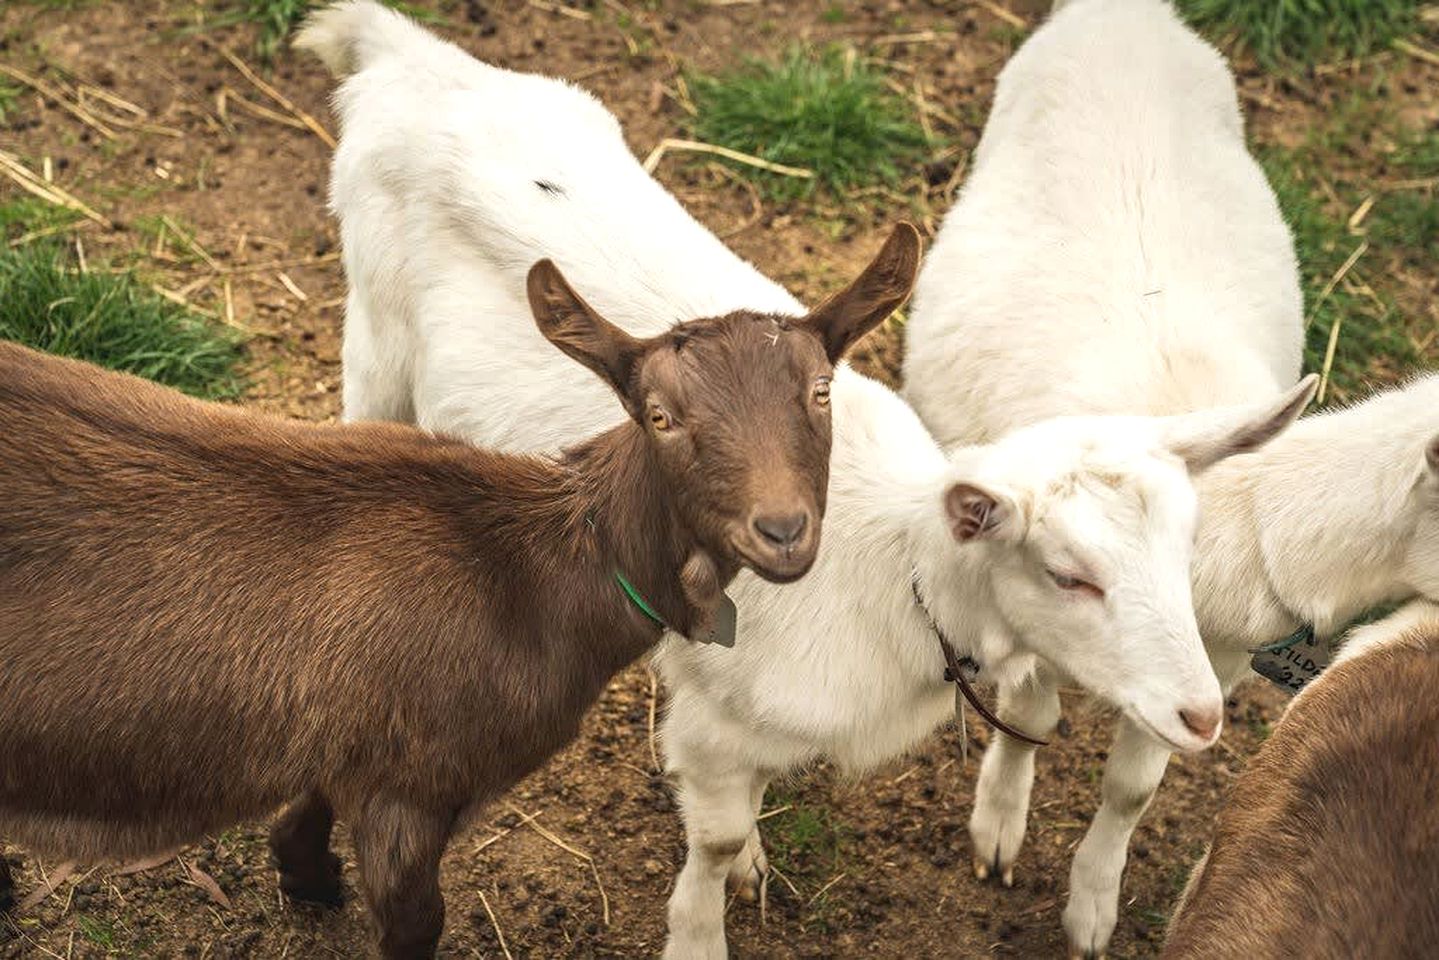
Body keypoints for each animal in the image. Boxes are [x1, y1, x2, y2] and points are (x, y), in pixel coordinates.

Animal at [0, 238, 888, 958]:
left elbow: (306, 811)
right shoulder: (416, 785)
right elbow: (415, 920)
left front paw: (307, 879)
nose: (781, 529)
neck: (533, 572)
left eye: (820, 392)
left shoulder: (354, 739)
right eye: (660, 416)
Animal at [297, 4, 1318, 957]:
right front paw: (700, 929)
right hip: (376, 342)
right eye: (1070, 576)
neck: (893, 579)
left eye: (1184, 554)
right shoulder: (712, 715)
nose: (1201, 715)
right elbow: (711, 839)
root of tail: (419, 64)